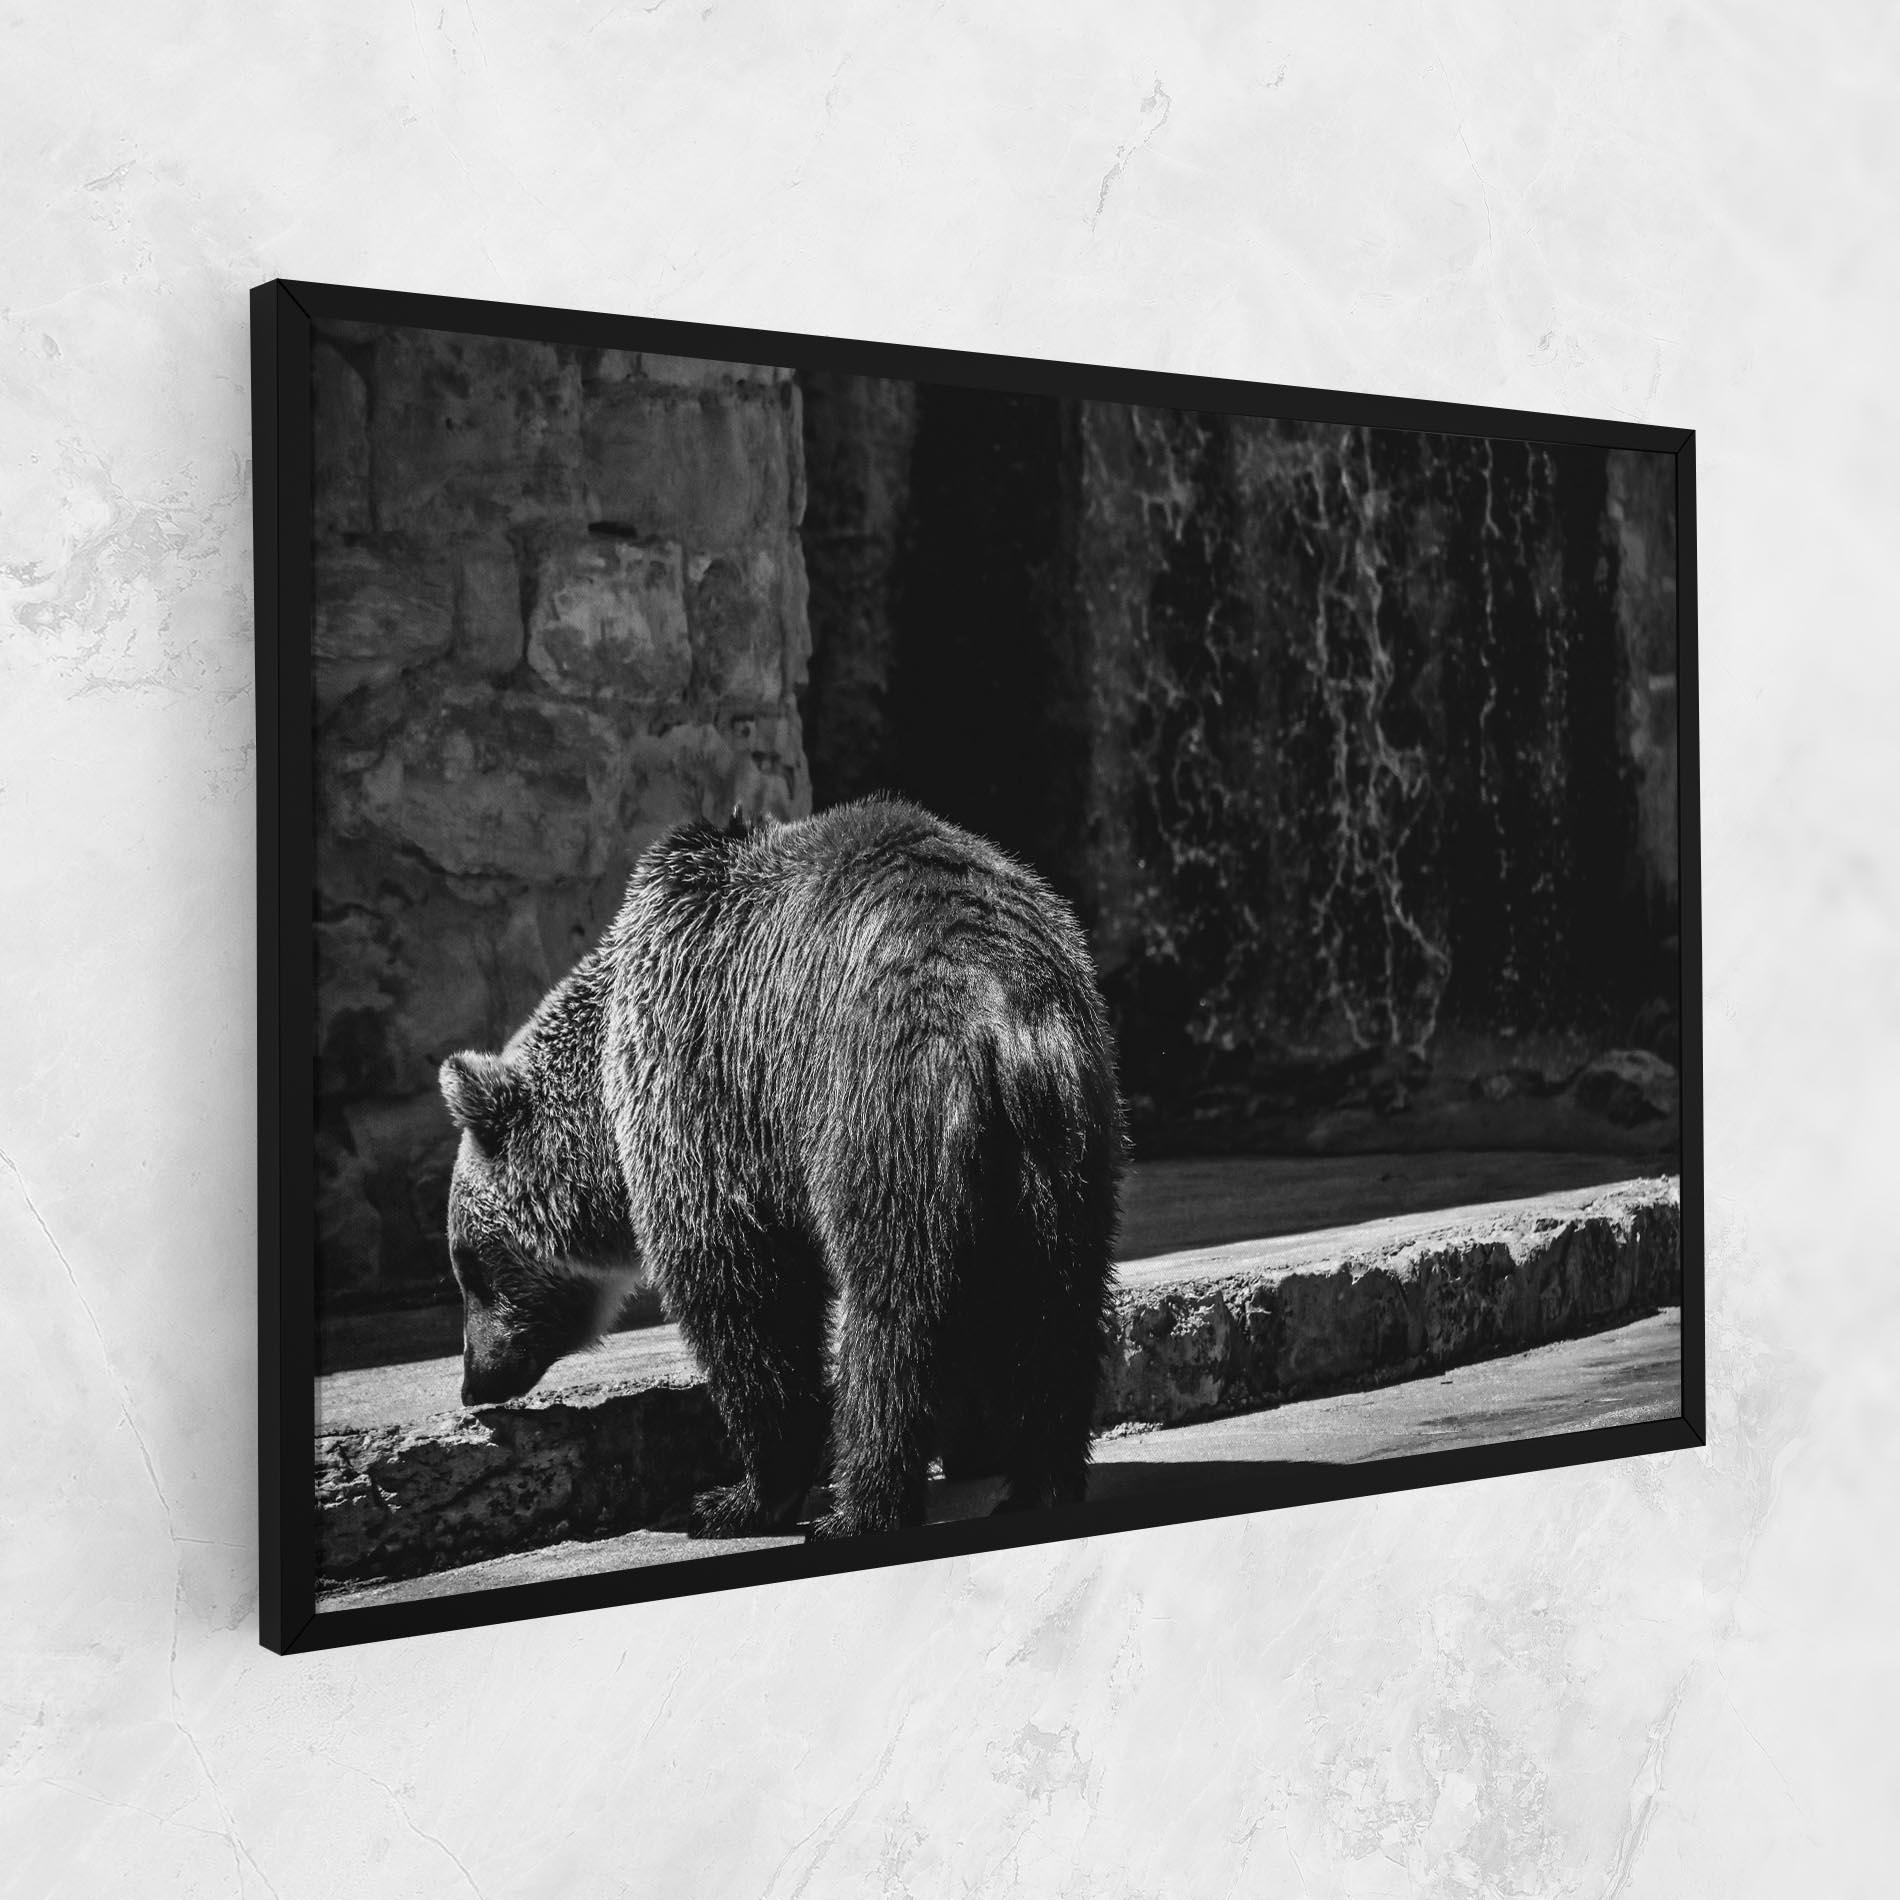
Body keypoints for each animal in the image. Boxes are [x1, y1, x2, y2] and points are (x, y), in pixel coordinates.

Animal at [437, 796, 1125, 1540]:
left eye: (470, 1266)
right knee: (1057, 1301)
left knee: (895, 1310)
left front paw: (733, 1497)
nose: (474, 1380)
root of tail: (1002, 1008)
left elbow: (743, 1292)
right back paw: (1040, 1485)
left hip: (882, 1103)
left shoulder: (708, 1081)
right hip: (1068, 1137)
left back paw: (863, 1508)